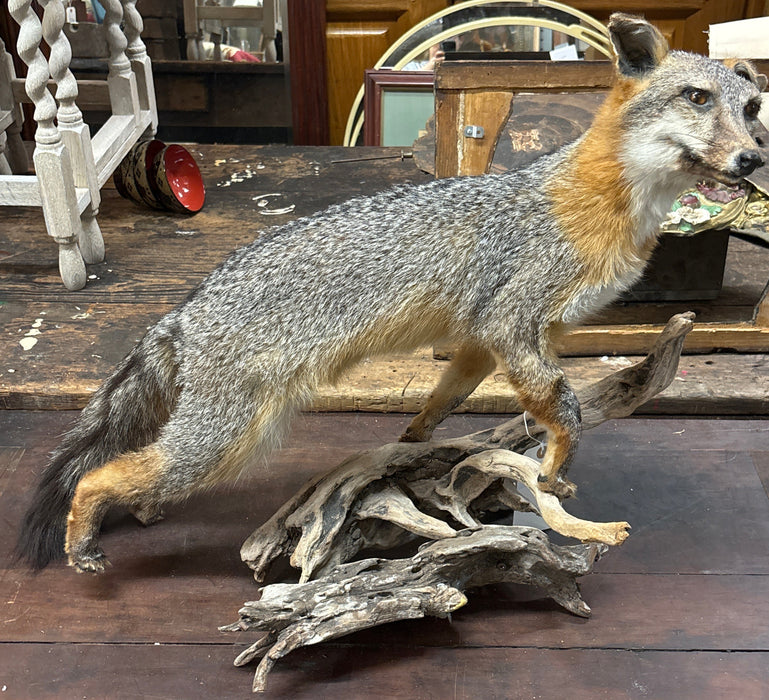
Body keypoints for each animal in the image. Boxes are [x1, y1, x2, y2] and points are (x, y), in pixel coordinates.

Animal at [17, 14, 766, 574]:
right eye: (698, 99)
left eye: (752, 109)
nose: (754, 157)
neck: (602, 204)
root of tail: (184, 310)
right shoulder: (512, 323)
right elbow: (565, 408)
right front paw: (554, 464)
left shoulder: (483, 342)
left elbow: (443, 404)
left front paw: (414, 446)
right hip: (227, 440)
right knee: (99, 476)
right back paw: (84, 540)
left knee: (139, 471)